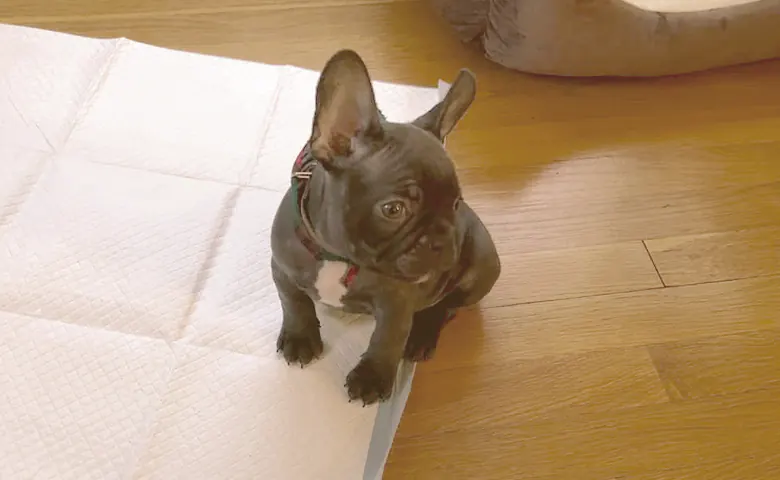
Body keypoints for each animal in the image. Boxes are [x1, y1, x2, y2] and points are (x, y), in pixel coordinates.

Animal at [268, 49, 500, 404]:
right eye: (393, 209)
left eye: (456, 204)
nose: (441, 240)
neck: (338, 258)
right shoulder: (281, 267)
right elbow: (294, 302)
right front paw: (300, 337)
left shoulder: (397, 303)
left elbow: (386, 339)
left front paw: (372, 377)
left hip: (483, 269)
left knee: (446, 306)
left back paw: (421, 335)